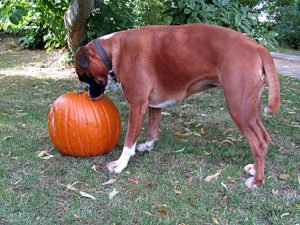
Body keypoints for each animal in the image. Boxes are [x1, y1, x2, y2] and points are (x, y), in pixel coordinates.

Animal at [74, 23, 278, 188]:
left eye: (84, 76)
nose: (86, 92)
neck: (113, 50)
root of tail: (257, 46)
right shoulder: (153, 105)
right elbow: (153, 127)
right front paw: (149, 145)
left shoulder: (137, 105)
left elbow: (129, 140)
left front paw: (121, 163)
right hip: (251, 110)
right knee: (264, 138)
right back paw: (254, 168)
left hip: (239, 109)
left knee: (258, 143)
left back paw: (257, 181)